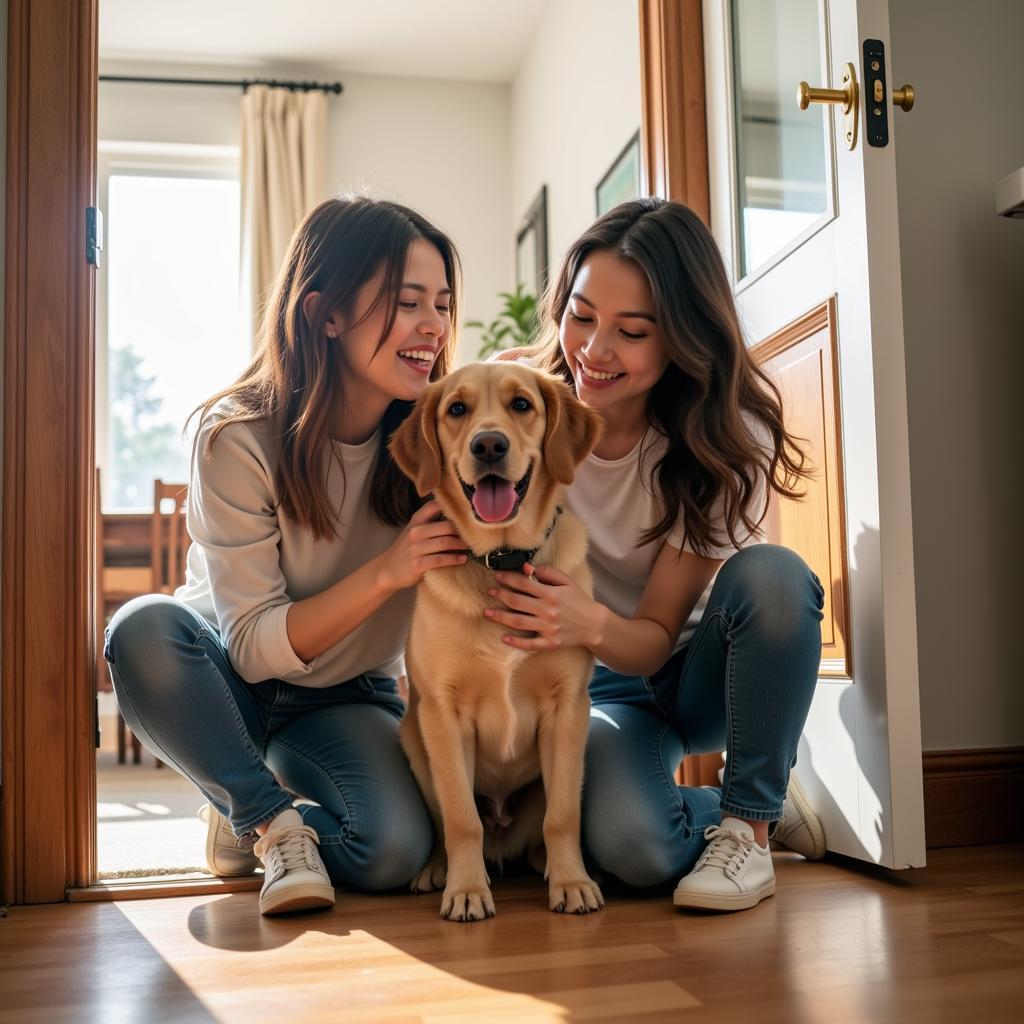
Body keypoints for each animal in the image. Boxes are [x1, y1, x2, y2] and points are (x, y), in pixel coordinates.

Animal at [387, 360, 602, 921]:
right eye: (456, 409)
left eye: (521, 404)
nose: (488, 445)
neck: (501, 561)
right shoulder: (442, 714)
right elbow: (462, 820)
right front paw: (465, 890)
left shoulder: (568, 707)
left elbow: (563, 815)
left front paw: (572, 881)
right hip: (414, 743)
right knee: (448, 824)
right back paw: (439, 870)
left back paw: (545, 863)